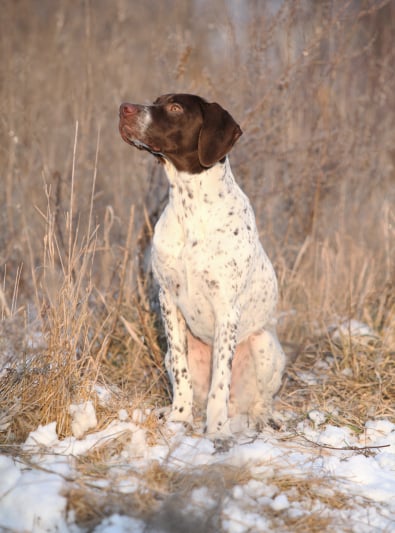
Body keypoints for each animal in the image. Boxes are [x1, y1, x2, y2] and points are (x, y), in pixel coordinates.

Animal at [119, 92, 286, 448]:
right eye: (156, 100)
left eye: (175, 108)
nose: (123, 108)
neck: (189, 207)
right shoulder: (167, 298)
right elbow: (183, 375)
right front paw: (179, 419)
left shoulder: (226, 308)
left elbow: (219, 382)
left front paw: (217, 431)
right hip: (169, 354)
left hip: (265, 344)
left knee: (259, 400)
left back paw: (262, 419)